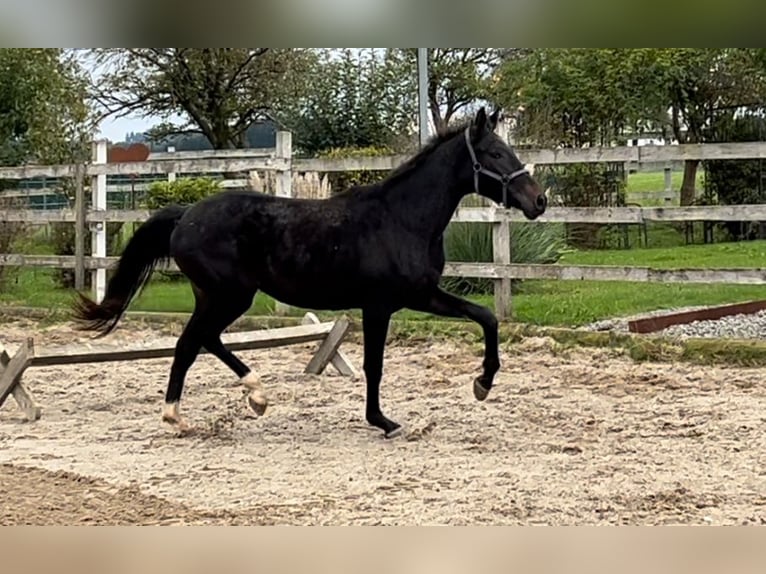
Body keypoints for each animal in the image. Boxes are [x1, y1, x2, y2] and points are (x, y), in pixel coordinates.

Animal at [73, 109, 544, 440]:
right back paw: (191, 412)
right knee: (193, 342)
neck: (402, 219)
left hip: (216, 297)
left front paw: (482, 383)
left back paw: (245, 400)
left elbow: (487, 317)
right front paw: (384, 421)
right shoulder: (380, 306)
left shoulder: (422, 295)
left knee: (201, 341)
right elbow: (374, 365)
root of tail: (185, 215)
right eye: (495, 154)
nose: (538, 201)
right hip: (229, 295)